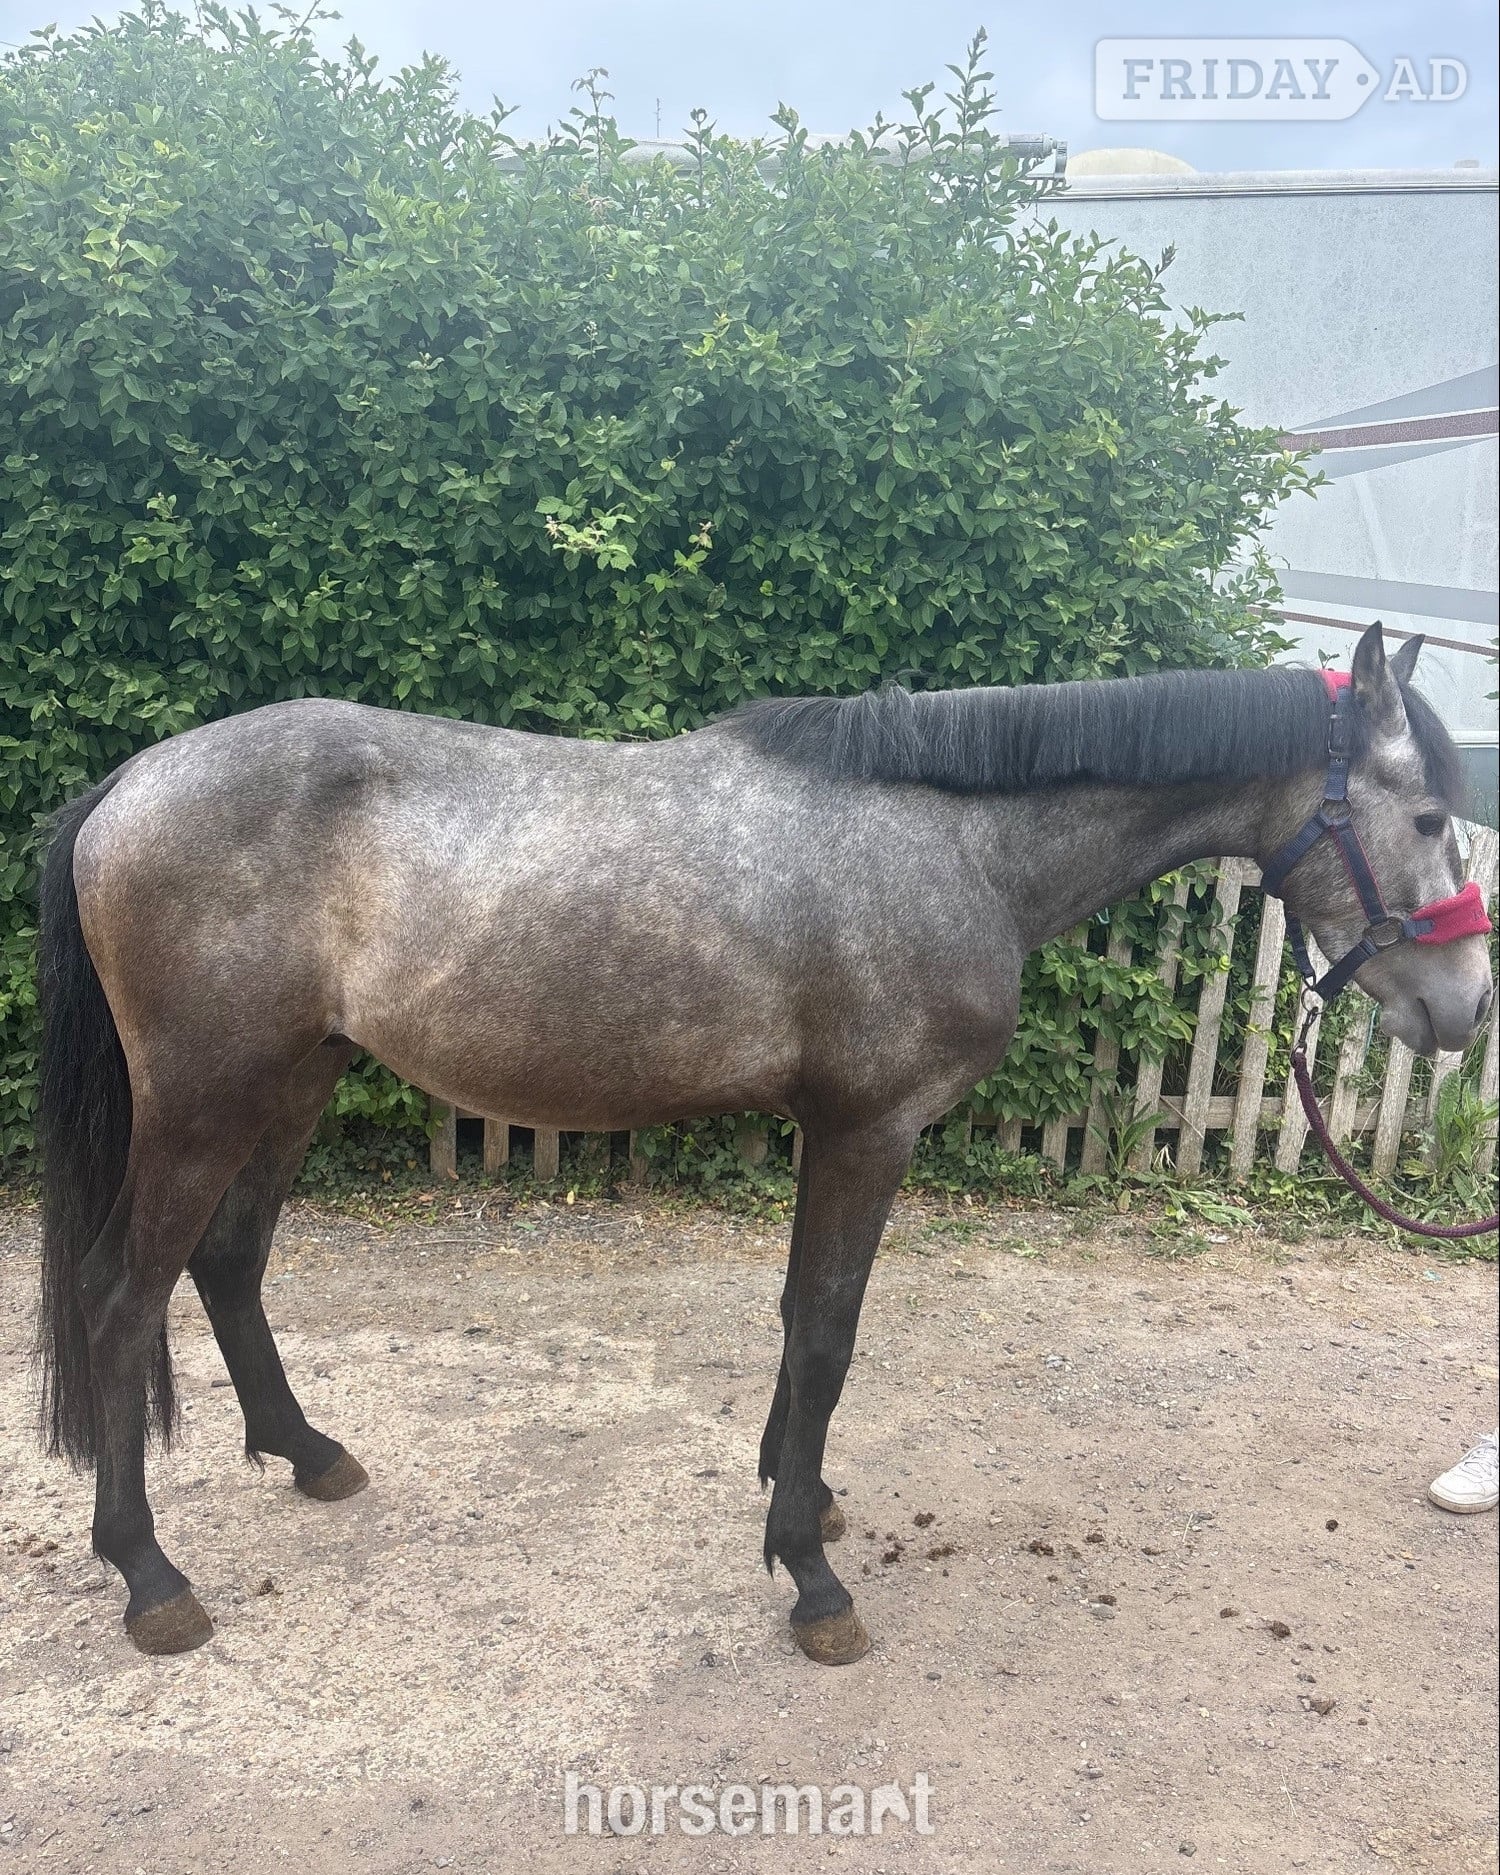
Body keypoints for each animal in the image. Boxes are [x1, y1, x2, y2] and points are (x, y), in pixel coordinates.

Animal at [34, 622, 1493, 1664]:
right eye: (1430, 817)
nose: (1465, 1007)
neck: (954, 838)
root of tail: (129, 782)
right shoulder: (869, 1128)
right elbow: (831, 1331)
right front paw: (812, 1575)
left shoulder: (826, 1129)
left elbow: (800, 1322)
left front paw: (803, 1494)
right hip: (207, 1101)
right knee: (119, 1298)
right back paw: (151, 1578)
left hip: (293, 1081)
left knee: (227, 1265)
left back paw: (309, 1452)